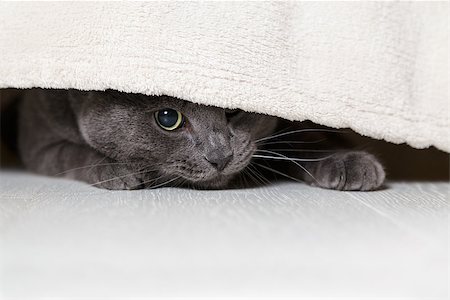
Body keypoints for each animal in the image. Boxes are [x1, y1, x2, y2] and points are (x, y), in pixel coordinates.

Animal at [17, 89, 384, 191]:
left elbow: (303, 141)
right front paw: (116, 169)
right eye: (168, 118)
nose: (220, 156)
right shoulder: (39, 139)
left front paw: (350, 162)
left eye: (235, 108)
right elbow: (69, 152)